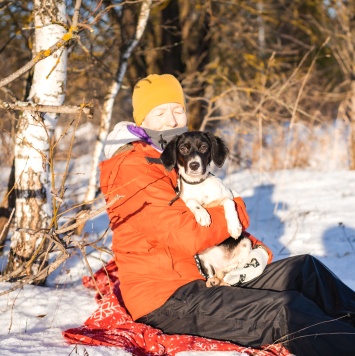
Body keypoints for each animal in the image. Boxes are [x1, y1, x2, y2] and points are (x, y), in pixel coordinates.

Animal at [160, 131, 252, 286]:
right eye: (183, 149)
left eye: (203, 147)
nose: (194, 165)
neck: (198, 184)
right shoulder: (184, 198)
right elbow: (191, 201)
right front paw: (202, 215)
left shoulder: (227, 194)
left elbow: (229, 202)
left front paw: (234, 226)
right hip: (202, 258)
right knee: (212, 274)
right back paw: (213, 281)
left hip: (246, 243)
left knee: (231, 269)